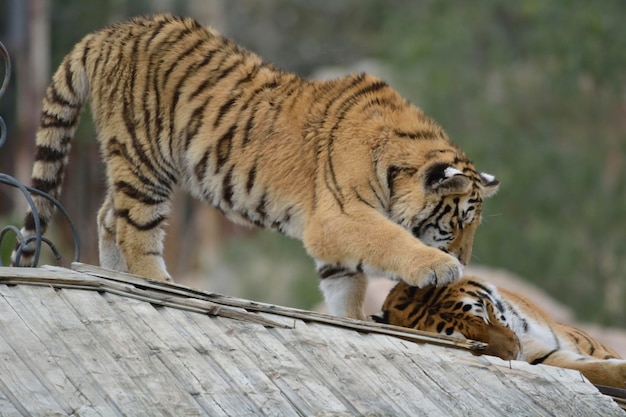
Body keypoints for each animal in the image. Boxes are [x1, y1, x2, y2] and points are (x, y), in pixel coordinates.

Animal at [11, 13, 498, 318]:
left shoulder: (333, 237)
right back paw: (157, 282)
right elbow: (389, 239)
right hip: (145, 160)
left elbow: (346, 286)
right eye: (458, 223)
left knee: (107, 215)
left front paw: (353, 320)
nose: (465, 261)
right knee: (135, 229)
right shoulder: (338, 216)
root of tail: (110, 32)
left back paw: (114, 275)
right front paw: (438, 266)